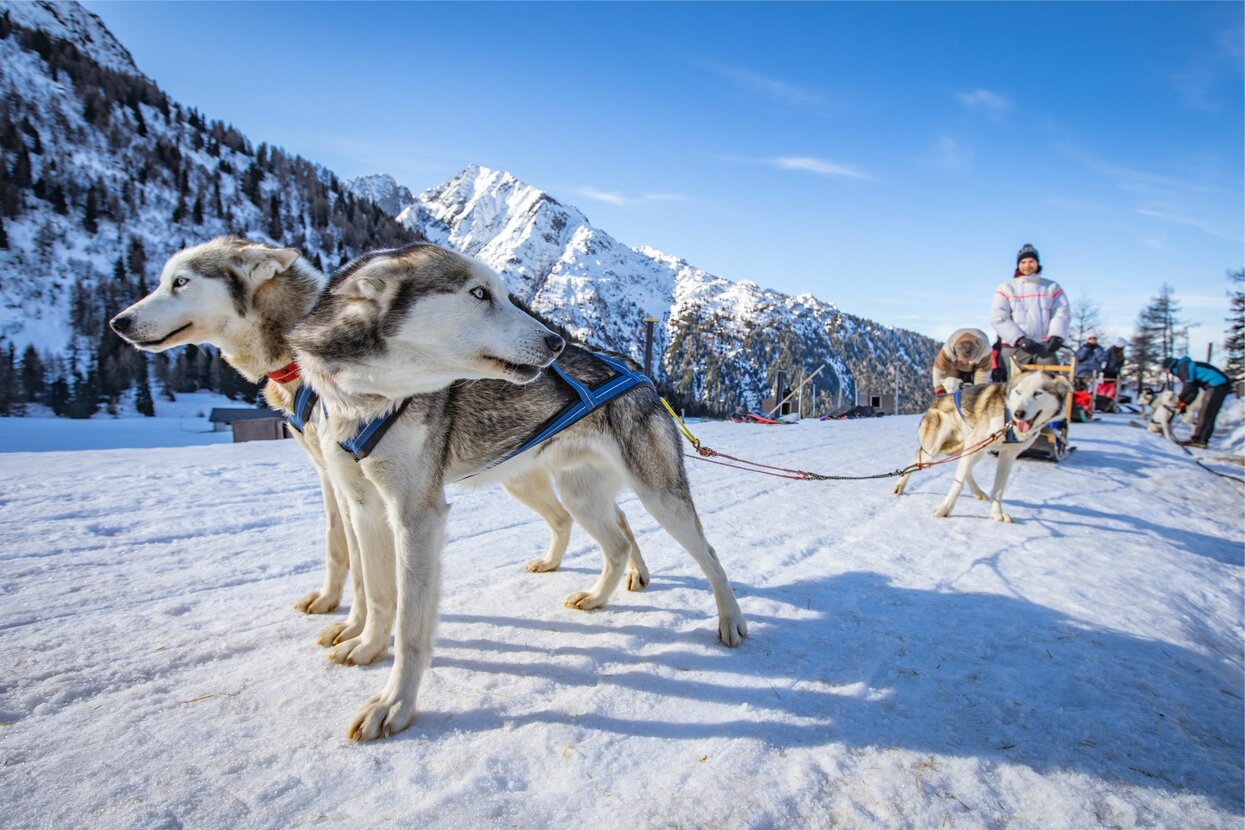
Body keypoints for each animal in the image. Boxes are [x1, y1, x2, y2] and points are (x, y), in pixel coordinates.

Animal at [110, 236, 647, 666]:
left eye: (179, 281)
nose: (119, 322)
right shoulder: (338, 480)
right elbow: (350, 554)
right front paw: (345, 617)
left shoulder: (356, 486)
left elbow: (354, 562)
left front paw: (353, 627)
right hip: (528, 477)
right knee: (601, 519)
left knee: (612, 521)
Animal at [291, 241, 747, 741]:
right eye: (478, 293)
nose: (556, 343)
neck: (371, 402)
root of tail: (635, 370)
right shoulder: (364, 509)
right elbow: (376, 594)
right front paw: (369, 646)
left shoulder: (417, 517)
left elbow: (410, 625)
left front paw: (394, 704)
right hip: (579, 495)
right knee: (618, 545)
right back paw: (597, 597)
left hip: (659, 494)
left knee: (708, 554)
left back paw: (730, 620)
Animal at [891, 360, 1075, 522]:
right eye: (1018, 392)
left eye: (1038, 393)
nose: (1018, 413)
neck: (1008, 419)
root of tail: (942, 397)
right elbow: (957, 483)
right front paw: (945, 509)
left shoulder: (1008, 455)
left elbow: (999, 488)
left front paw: (996, 513)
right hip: (937, 449)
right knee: (918, 458)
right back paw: (900, 485)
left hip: (974, 449)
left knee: (966, 469)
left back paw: (978, 492)